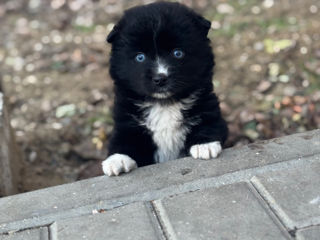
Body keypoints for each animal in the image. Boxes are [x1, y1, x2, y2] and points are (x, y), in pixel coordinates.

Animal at [102, 0, 228, 175]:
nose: (160, 78)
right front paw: (117, 159)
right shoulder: (127, 122)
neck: (164, 104)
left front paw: (204, 145)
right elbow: (123, 141)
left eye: (177, 53)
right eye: (140, 57)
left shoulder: (207, 107)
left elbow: (209, 124)